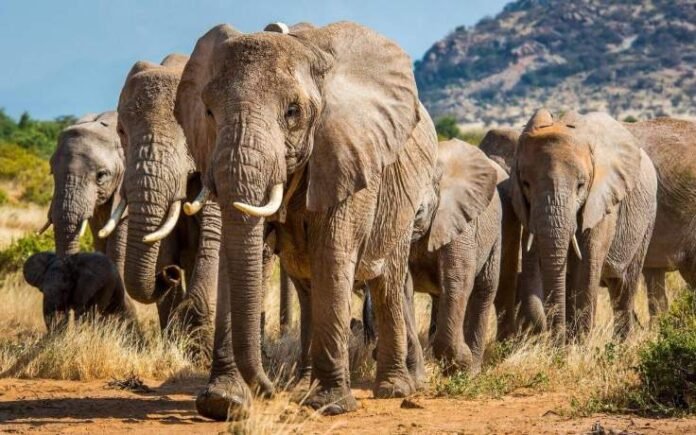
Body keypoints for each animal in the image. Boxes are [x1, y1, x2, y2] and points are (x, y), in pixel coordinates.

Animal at [174, 21, 438, 419]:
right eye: (208, 111)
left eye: (292, 112)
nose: (269, 390)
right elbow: (236, 256)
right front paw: (222, 402)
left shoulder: (347, 155)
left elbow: (332, 252)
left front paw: (330, 406)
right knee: (310, 287)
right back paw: (303, 387)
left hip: (402, 204)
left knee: (387, 282)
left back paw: (393, 390)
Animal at [408, 138, 504, 376]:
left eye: (419, 213)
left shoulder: (460, 219)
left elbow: (457, 279)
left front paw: (462, 365)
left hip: (494, 233)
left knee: (484, 289)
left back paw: (472, 371)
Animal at [511, 109, 657, 342]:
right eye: (526, 184)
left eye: (580, 185)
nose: (555, 340)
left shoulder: (601, 203)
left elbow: (586, 268)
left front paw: (577, 346)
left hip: (647, 220)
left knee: (624, 289)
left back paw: (621, 344)